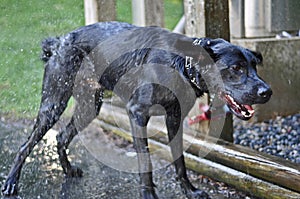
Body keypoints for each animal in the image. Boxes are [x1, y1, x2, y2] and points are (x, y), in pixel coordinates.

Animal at [1, 21, 272, 198]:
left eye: (255, 66)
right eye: (236, 68)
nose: (267, 91)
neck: (181, 64)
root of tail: (60, 42)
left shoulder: (174, 118)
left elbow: (180, 160)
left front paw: (190, 191)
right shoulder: (137, 114)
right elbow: (146, 161)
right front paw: (149, 195)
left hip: (90, 107)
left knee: (60, 136)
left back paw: (68, 170)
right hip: (53, 104)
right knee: (26, 145)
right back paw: (11, 182)